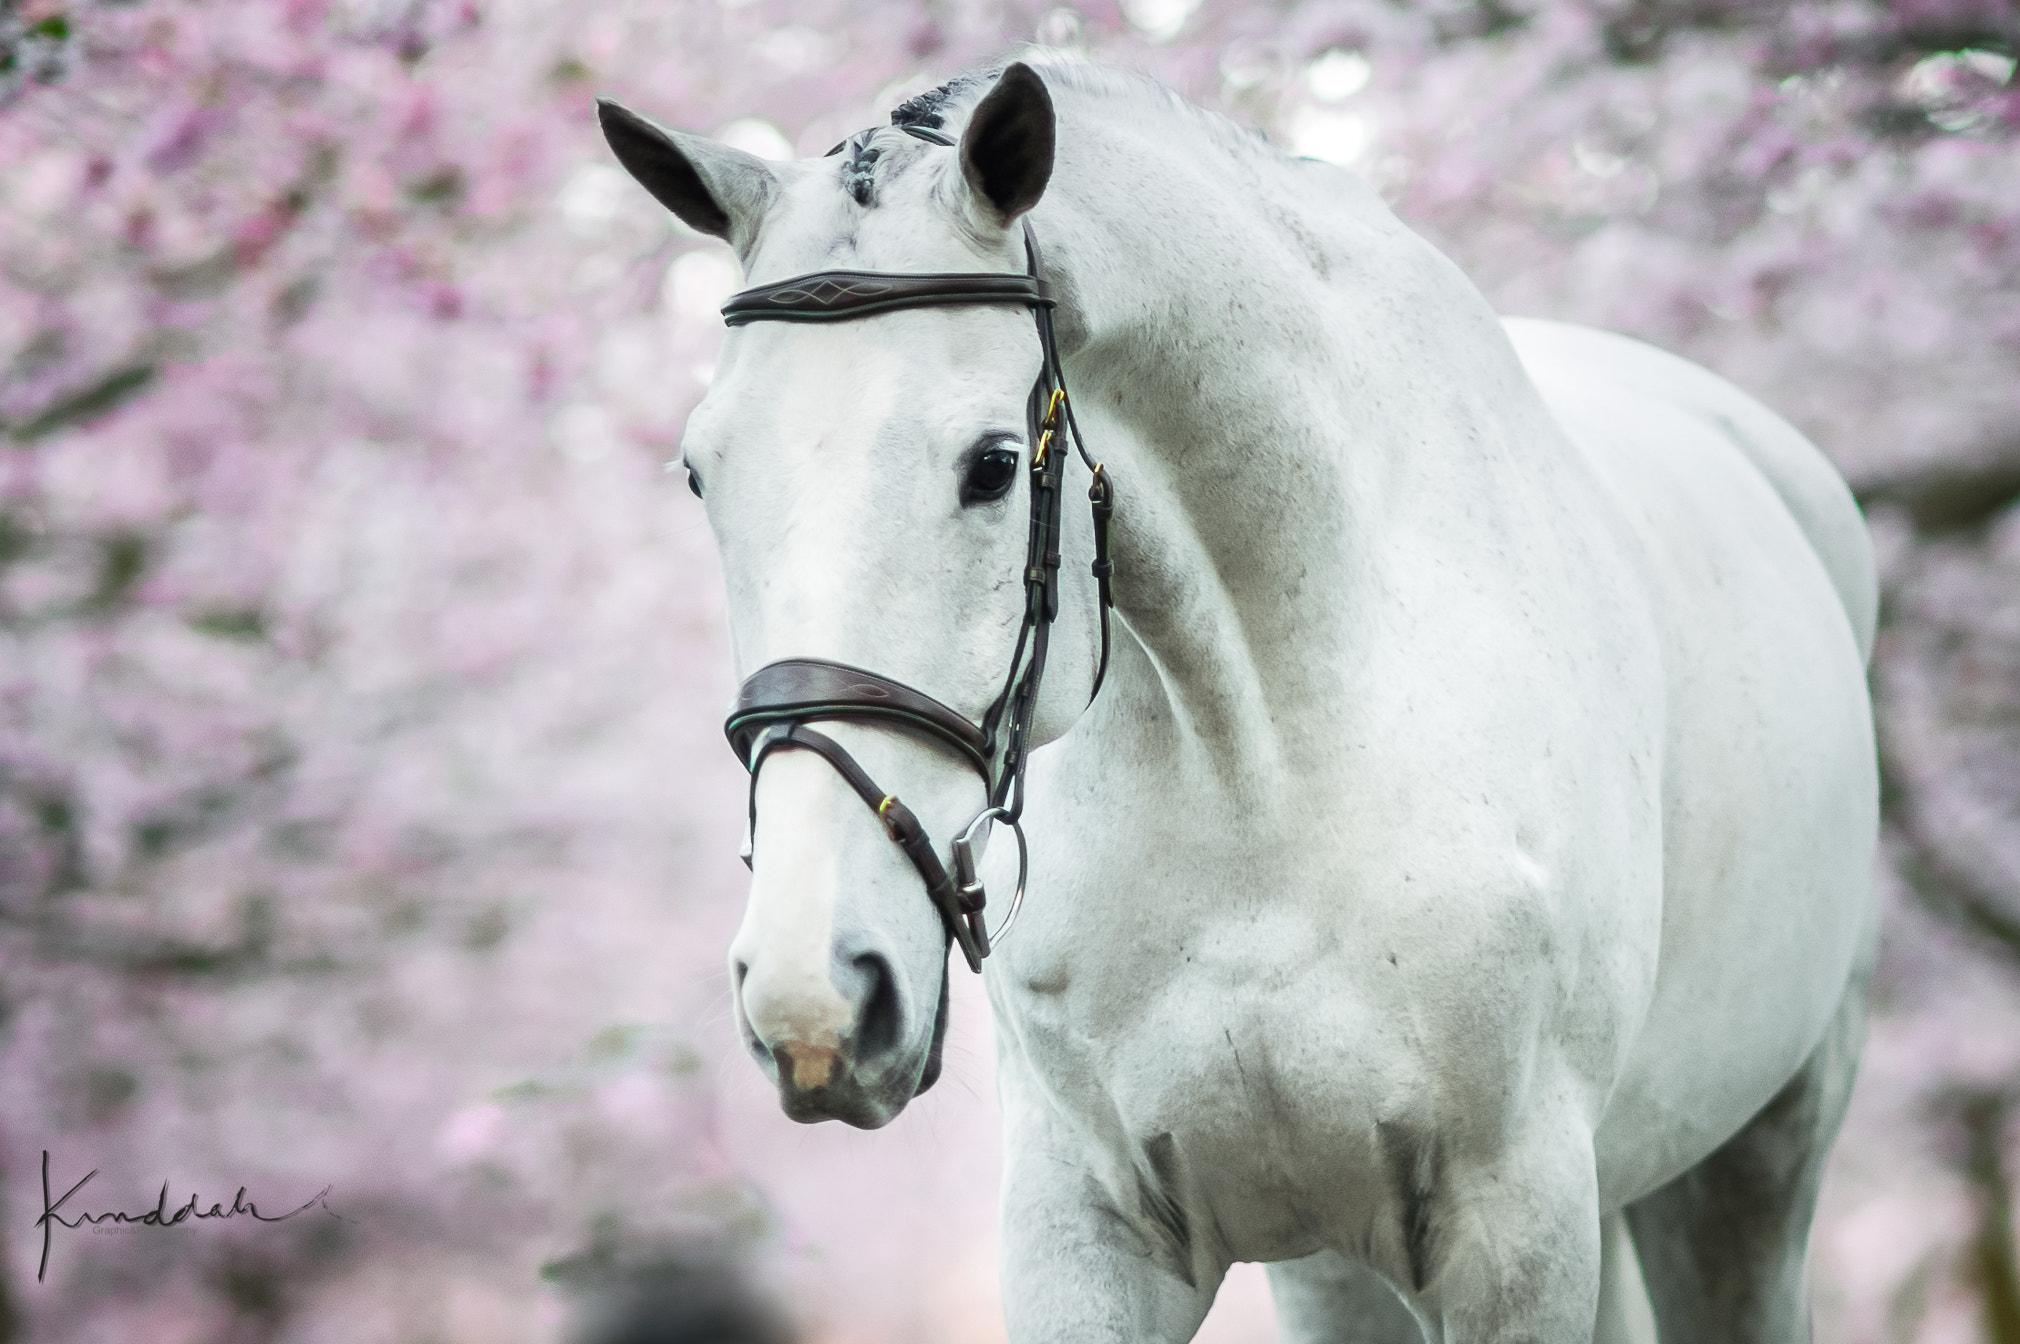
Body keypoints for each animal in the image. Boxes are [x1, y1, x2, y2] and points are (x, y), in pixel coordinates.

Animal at [593, 57, 1874, 1341]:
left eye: (993, 466)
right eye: (700, 473)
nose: (814, 995)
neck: (1259, 762)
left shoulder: (1516, 1230)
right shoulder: (1090, 1232)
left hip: (1756, 1158)